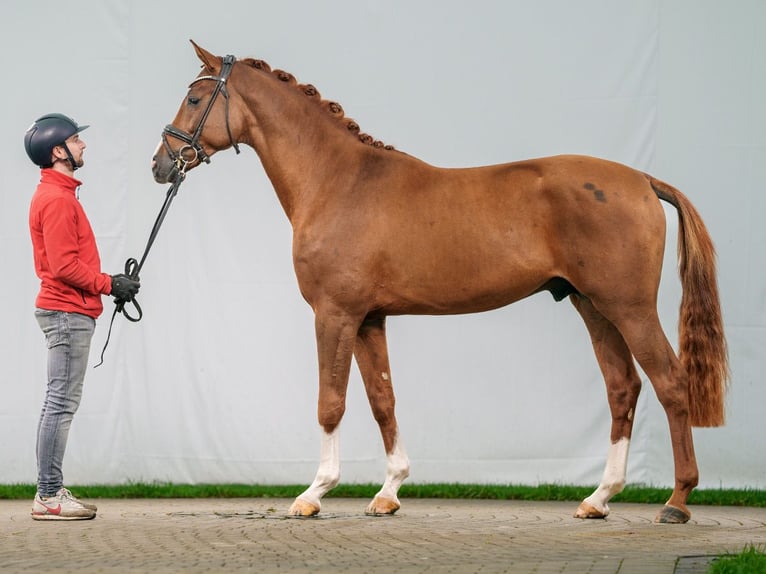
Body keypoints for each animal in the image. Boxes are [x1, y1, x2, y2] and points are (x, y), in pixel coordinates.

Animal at [152, 41, 732, 528]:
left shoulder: (334, 314)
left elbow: (330, 402)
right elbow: (382, 399)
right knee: (623, 388)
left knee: (670, 383)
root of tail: (642, 181)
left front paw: (314, 494)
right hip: (593, 307)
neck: (339, 181)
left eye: (195, 97)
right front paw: (389, 492)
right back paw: (599, 499)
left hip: (630, 307)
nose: (160, 163)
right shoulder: (369, 318)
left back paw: (677, 501)